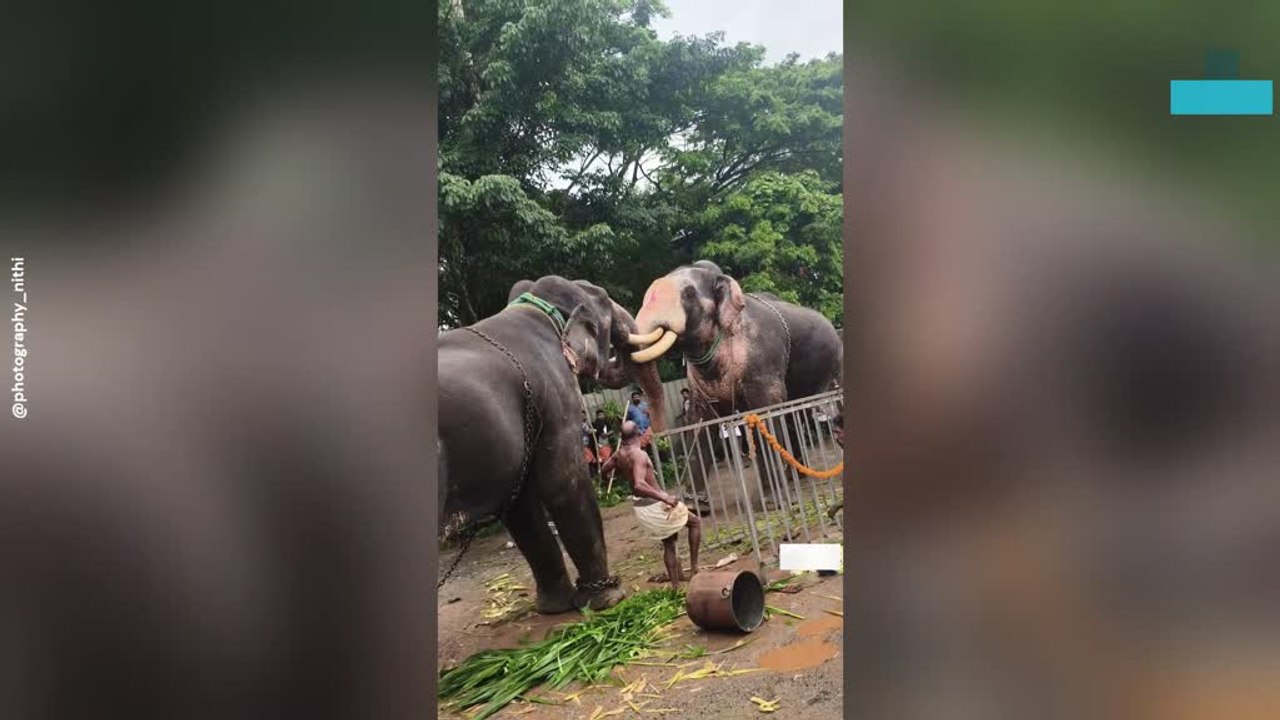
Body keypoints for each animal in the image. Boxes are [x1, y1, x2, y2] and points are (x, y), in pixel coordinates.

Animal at [437, 276, 667, 614]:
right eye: (605, 301)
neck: (536, 306)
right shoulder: (556, 394)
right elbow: (563, 483)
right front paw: (607, 599)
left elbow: (520, 505)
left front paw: (553, 607)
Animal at [625, 261, 842, 499]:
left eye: (688, 293)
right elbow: (699, 420)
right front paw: (696, 502)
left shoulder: (761, 357)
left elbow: (764, 410)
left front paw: (772, 497)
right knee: (792, 416)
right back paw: (797, 476)